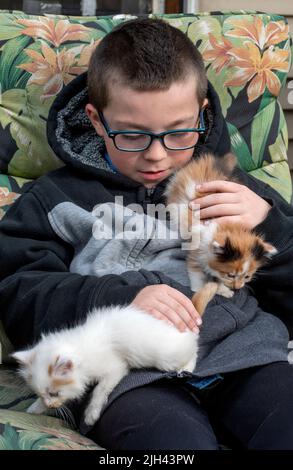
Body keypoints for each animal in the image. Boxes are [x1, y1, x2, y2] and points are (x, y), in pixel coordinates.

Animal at [164, 152, 276, 296]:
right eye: (231, 275)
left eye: (247, 277)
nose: (237, 288)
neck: (228, 228)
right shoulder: (196, 251)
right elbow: (196, 272)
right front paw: (198, 289)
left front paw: (223, 290)